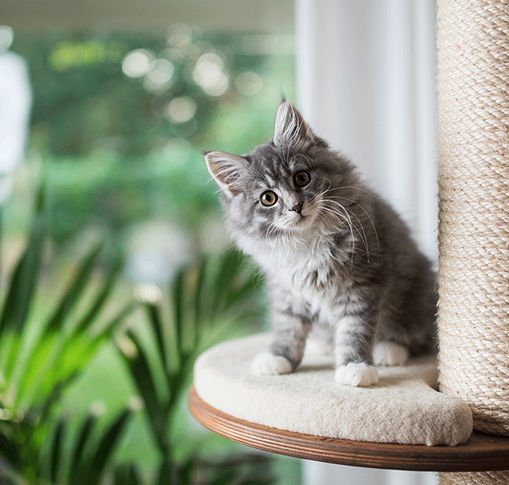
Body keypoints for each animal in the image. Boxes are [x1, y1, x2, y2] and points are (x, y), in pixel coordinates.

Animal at [204, 101, 434, 386]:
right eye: (268, 198)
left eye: (301, 178)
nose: (295, 206)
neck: (306, 241)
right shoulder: (287, 290)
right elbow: (288, 326)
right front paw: (279, 356)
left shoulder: (363, 284)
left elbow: (355, 329)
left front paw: (355, 366)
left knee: (419, 336)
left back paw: (389, 349)